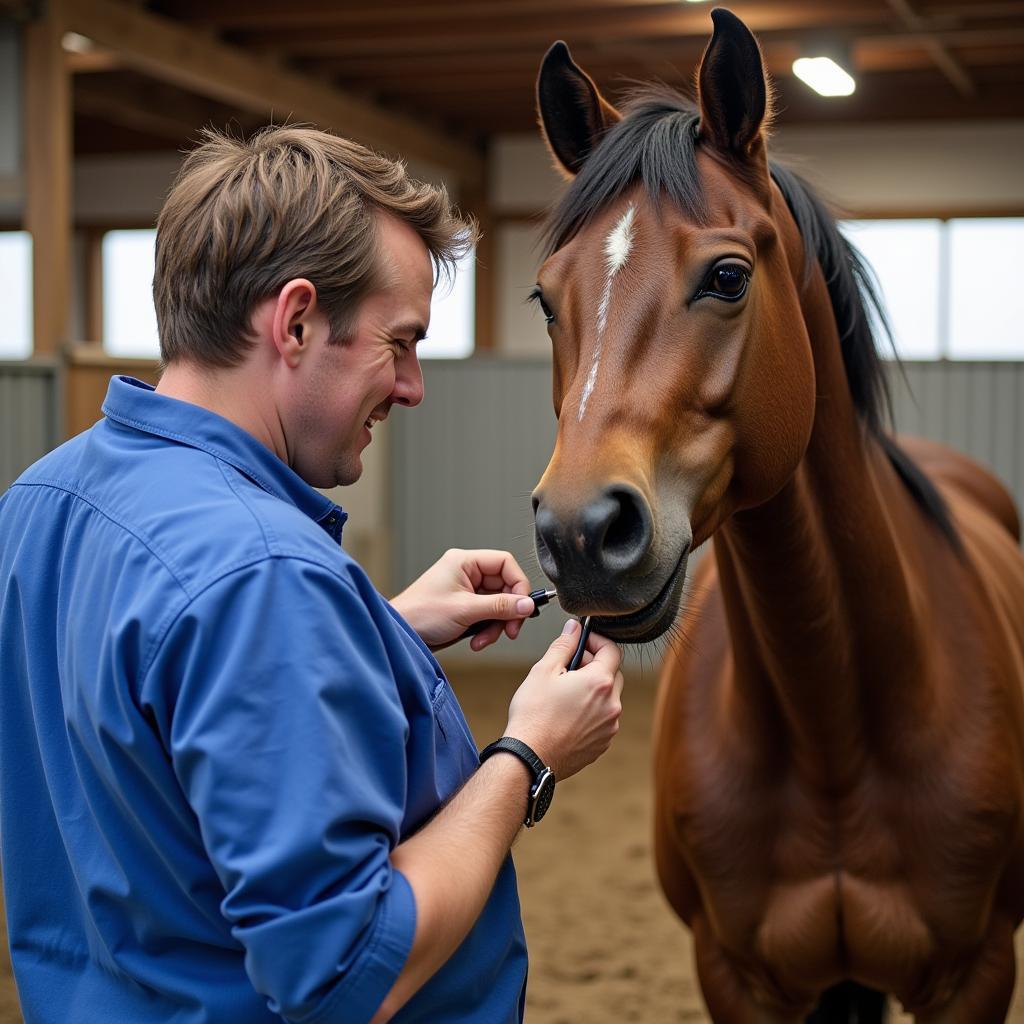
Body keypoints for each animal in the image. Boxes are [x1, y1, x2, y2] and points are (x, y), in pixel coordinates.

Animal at [532, 9, 1024, 1024]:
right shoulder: (736, 976)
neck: (832, 720)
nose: (580, 534)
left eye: (727, 277)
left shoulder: (977, 974)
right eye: (545, 298)